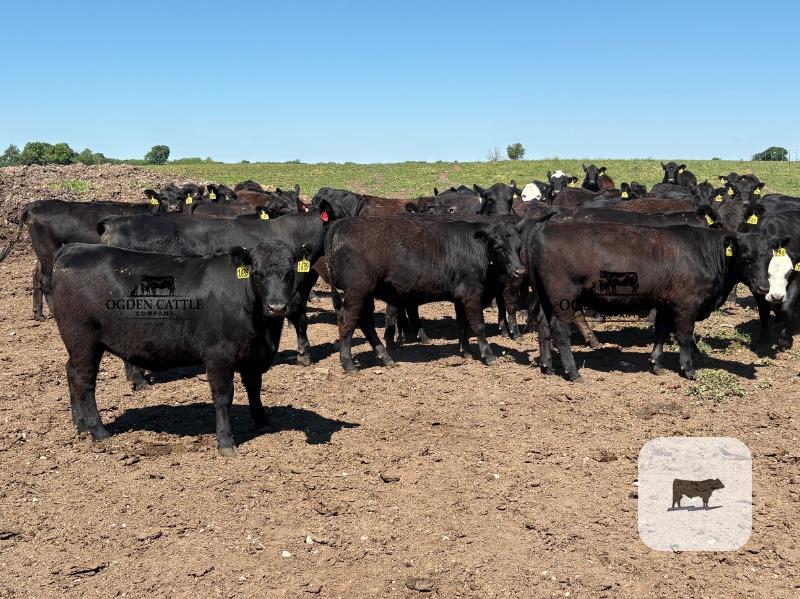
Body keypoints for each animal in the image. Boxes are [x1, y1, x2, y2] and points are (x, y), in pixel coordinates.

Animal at [51, 241, 297, 455]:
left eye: (290, 272)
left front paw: (262, 421)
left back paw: (81, 426)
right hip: (84, 340)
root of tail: (74, 248)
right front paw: (226, 442)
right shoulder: (218, 355)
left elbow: (254, 388)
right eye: (257, 273)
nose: (277, 307)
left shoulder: (253, 355)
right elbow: (223, 397)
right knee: (84, 381)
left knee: (71, 372)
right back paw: (98, 431)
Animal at [325, 215, 525, 372]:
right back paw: (349, 364)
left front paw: (466, 352)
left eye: (518, 246)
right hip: (356, 291)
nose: (519, 271)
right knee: (347, 320)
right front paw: (488, 355)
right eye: (498, 246)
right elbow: (478, 325)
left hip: (365, 294)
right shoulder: (471, 293)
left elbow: (462, 324)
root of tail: (343, 225)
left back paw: (386, 358)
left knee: (366, 322)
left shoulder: (459, 297)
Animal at [523, 221, 780, 380]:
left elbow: (661, 332)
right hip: (563, 297)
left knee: (543, 327)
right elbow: (684, 336)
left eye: (769, 257)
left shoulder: (666, 303)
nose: (764, 287)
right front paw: (688, 369)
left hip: (546, 298)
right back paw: (573, 372)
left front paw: (656, 364)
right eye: (746, 257)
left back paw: (548, 367)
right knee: (560, 331)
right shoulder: (687, 305)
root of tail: (542, 228)